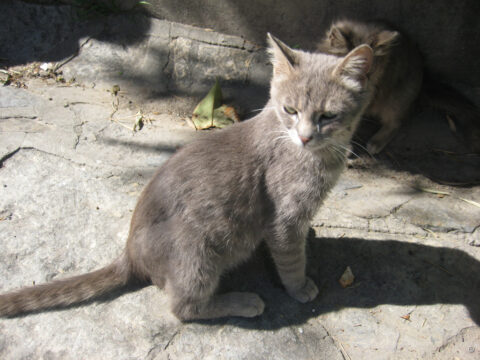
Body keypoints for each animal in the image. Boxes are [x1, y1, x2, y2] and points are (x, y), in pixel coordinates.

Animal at [0, 34, 376, 320]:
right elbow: (291, 258)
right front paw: (300, 287)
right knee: (184, 308)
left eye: (328, 116)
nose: (305, 136)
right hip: (198, 252)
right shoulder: (285, 218)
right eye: (290, 110)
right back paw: (242, 302)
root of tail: (130, 254)